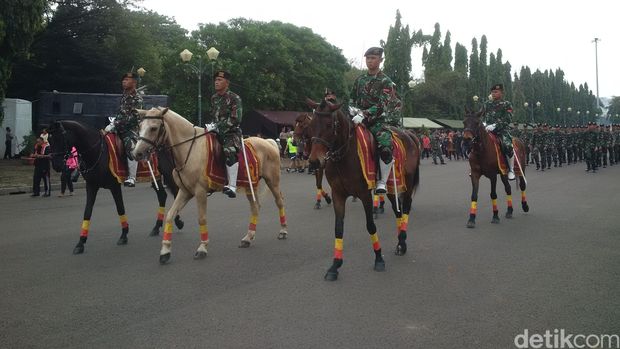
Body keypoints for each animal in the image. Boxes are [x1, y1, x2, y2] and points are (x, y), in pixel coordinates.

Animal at [47, 119, 183, 253]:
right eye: (49, 140)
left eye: (60, 138)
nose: (56, 165)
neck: (97, 151)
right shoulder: (91, 186)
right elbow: (87, 212)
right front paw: (81, 242)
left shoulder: (114, 185)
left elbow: (120, 208)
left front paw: (124, 235)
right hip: (155, 175)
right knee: (162, 195)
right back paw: (156, 227)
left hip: (168, 172)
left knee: (177, 192)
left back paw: (177, 221)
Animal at [133, 107, 288, 262]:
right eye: (139, 127)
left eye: (153, 128)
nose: (137, 153)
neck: (189, 149)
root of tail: (268, 142)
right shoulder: (185, 191)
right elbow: (170, 215)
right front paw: (165, 251)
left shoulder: (200, 192)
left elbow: (201, 219)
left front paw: (202, 247)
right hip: (250, 185)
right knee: (255, 207)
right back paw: (248, 238)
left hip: (272, 181)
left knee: (279, 202)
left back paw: (283, 231)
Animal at [306, 98, 422, 280]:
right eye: (311, 126)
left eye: (329, 125)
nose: (314, 161)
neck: (345, 155)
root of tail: (409, 135)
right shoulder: (338, 194)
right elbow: (338, 228)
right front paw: (335, 265)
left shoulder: (365, 195)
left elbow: (370, 226)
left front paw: (379, 258)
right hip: (391, 186)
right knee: (398, 211)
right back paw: (400, 243)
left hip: (408, 183)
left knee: (406, 207)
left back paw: (402, 240)